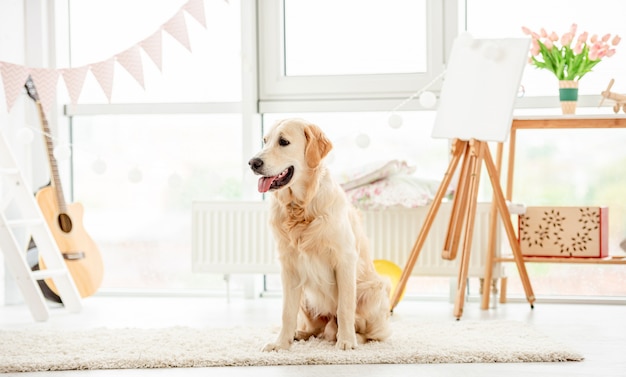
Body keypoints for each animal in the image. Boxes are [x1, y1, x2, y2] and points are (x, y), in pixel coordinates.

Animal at [246, 117, 388, 350]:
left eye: (283, 142)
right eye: (265, 141)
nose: (252, 163)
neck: (301, 208)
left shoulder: (345, 260)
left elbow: (345, 307)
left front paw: (346, 341)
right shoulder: (289, 266)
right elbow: (287, 312)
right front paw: (281, 344)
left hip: (374, 289)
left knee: (375, 334)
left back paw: (353, 338)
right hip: (307, 296)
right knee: (317, 330)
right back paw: (300, 334)